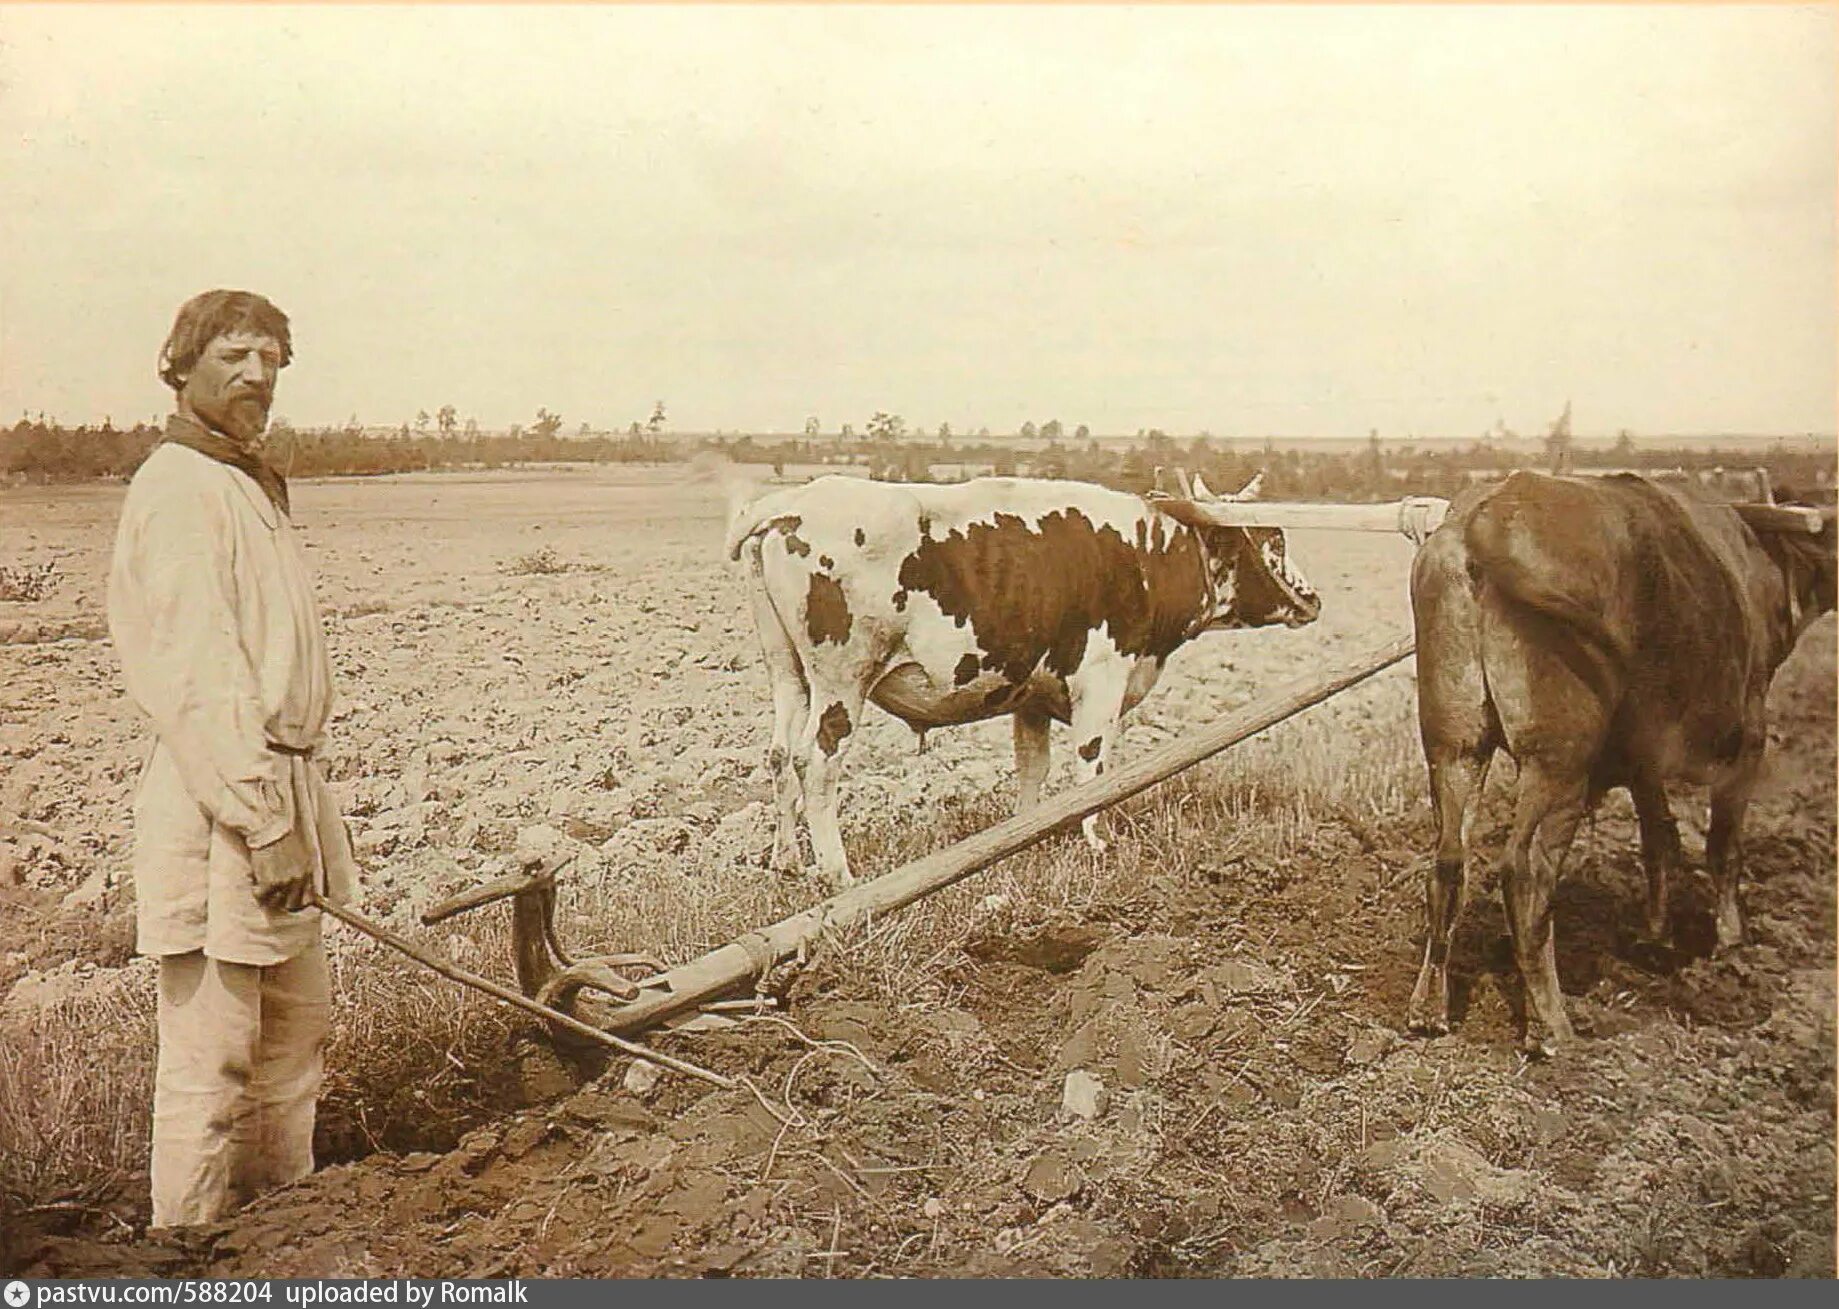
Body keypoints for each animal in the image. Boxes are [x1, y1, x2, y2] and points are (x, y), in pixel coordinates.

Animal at [720, 474, 1324, 886]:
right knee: (816, 763)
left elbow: (1033, 768)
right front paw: (1095, 841)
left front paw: (1024, 837)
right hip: (842, 678)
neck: (1150, 553)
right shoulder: (1103, 677)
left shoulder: (1032, 692)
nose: (1314, 599)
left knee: (779, 755)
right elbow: (1093, 763)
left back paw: (786, 859)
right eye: (1274, 536)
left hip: (787, 671)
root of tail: (790, 504)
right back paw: (838, 874)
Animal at [1412, 470, 1831, 1051]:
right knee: (1524, 870)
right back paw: (1552, 1026)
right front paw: (1731, 940)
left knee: (1450, 862)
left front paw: (1655, 936)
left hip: (1454, 746)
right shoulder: (1746, 742)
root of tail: (1485, 518)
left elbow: (1660, 841)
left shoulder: (1643, 761)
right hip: (1557, 763)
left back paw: (1428, 1007)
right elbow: (1722, 848)